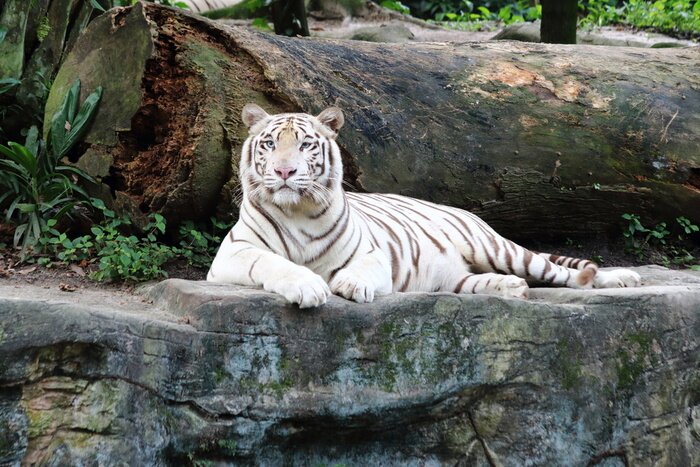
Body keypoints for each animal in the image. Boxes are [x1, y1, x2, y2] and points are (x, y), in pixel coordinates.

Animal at [207, 104, 641, 308]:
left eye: (305, 145)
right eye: (268, 144)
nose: (284, 171)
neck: (297, 211)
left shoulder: (372, 252)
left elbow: (364, 267)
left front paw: (351, 284)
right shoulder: (231, 256)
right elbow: (271, 262)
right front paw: (308, 285)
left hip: (497, 248)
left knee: (562, 272)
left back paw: (621, 278)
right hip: (454, 276)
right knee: (473, 282)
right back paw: (509, 288)